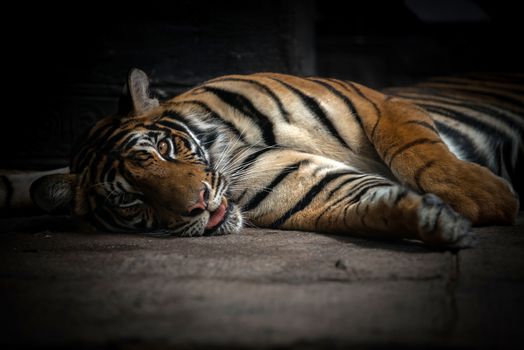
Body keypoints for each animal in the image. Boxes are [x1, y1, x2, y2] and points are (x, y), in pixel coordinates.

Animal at [2, 69, 520, 249]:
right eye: (130, 201)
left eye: (164, 150)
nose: (198, 205)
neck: (227, 152)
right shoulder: (315, 189)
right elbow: (371, 206)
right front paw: (431, 222)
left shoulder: (380, 104)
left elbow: (416, 151)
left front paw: (486, 198)